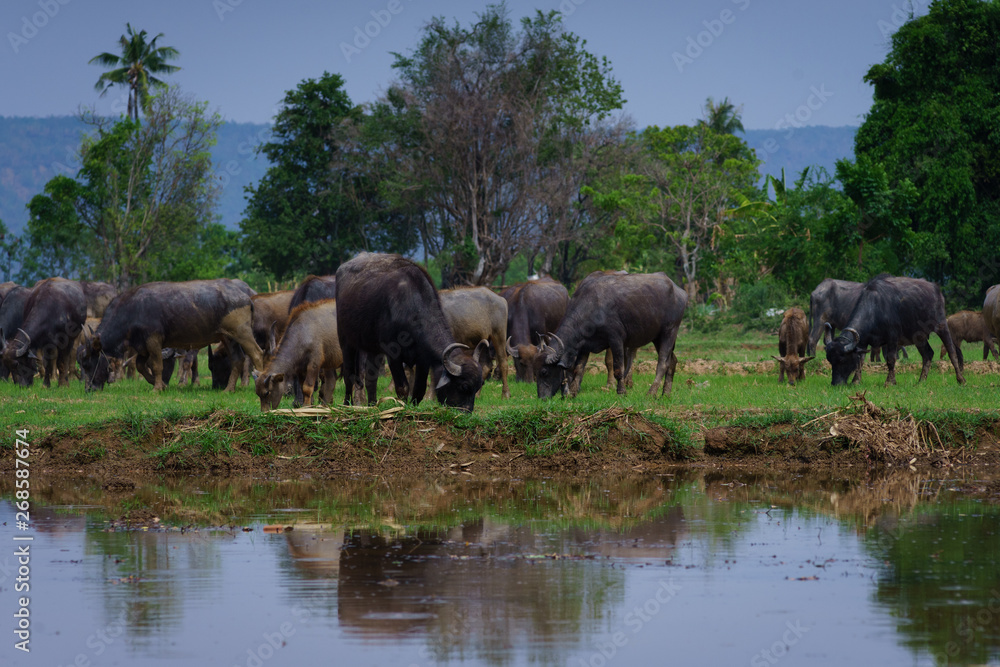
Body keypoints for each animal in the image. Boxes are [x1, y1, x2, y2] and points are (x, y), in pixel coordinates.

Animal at [79, 279, 264, 391]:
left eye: (89, 364)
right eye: (83, 364)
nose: (89, 389)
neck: (132, 310)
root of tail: (246, 297)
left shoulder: (153, 340)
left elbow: (156, 365)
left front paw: (157, 388)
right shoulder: (142, 346)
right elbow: (140, 365)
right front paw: (161, 384)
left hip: (242, 333)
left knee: (257, 354)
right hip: (228, 338)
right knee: (238, 359)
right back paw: (228, 389)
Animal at [336, 253, 490, 411]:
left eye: (478, 387)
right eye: (464, 386)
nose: (466, 412)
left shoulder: (423, 359)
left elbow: (419, 389)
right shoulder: (393, 355)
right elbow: (402, 387)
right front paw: (402, 406)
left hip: (373, 348)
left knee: (371, 379)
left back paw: (372, 405)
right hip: (345, 340)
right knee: (349, 375)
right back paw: (346, 404)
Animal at [534, 271, 687, 398]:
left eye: (544, 372)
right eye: (535, 373)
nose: (542, 397)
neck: (593, 307)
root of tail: (679, 291)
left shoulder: (616, 339)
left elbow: (618, 368)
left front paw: (621, 392)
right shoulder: (584, 346)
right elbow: (578, 368)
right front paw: (572, 392)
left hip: (669, 332)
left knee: (662, 363)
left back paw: (652, 392)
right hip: (657, 338)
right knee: (672, 361)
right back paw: (666, 393)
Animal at [824, 274, 965, 386]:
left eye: (842, 360)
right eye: (830, 360)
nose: (835, 383)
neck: (875, 309)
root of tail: (936, 289)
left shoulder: (892, 337)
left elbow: (890, 359)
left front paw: (889, 382)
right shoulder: (863, 341)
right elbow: (860, 360)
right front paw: (856, 381)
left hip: (942, 325)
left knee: (952, 352)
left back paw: (961, 379)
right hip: (919, 337)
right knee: (928, 354)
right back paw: (921, 381)